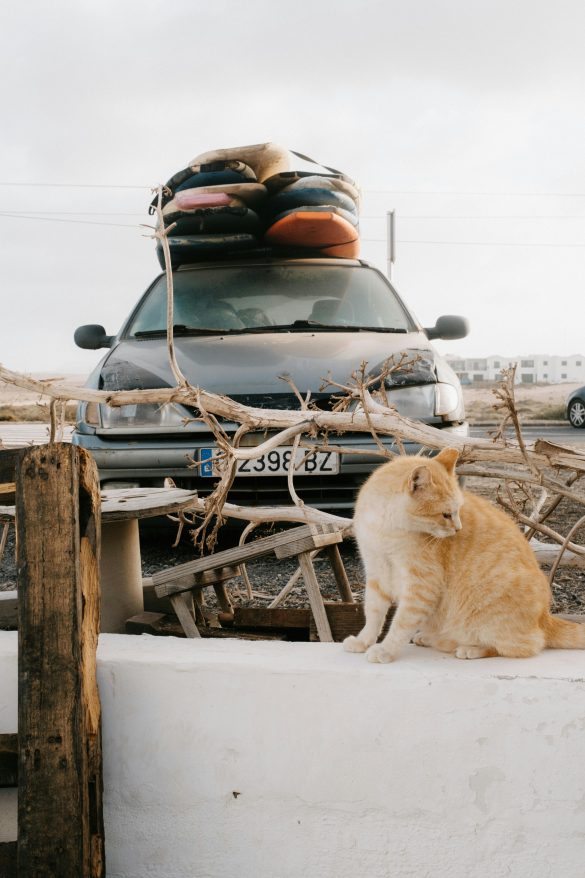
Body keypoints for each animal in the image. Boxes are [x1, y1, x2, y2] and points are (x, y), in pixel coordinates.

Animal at [342, 450, 584, 664]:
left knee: (525, 646)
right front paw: (363, 641)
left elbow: (401, 622)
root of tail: (545, 617)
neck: (383, 528)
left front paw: (386, 649)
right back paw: (430, 637)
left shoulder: (421, 586)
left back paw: (469, 648)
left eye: (457, 511)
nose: (458, 529)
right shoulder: (376, 573)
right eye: (445, 514)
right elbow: (373, 614)